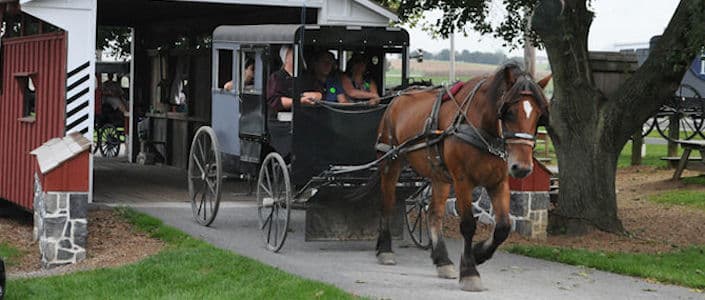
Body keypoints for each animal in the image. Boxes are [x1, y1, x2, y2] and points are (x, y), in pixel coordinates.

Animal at [374, 62, 552, 290]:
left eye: (539, 116)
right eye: (509, 112)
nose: (521, 168)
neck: (481, 128)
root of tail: (397, 97)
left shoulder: (498, 182)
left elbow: (503, 227)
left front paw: (478, 254)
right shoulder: (462, 181)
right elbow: (468, 225)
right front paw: (469, 272)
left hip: (439, 176)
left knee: (434, 214)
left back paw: (442, 260)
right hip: (391, 162)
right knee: (387, 203)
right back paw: (385, 250)